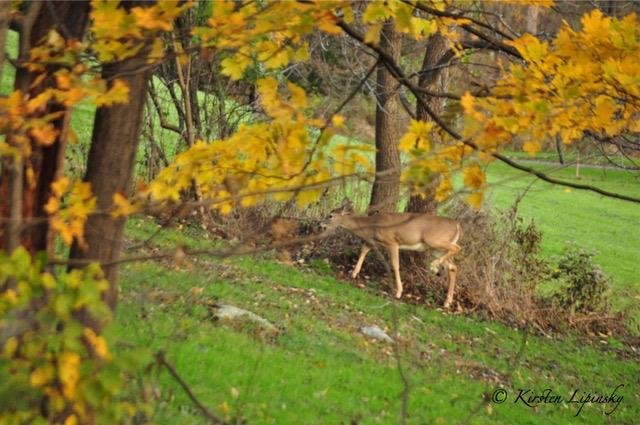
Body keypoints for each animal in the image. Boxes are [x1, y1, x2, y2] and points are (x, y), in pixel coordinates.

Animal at [322, 203, 462, 308]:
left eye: (330, 215)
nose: (320, 224)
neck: (372, 225)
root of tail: (457, 225)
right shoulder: (374, 241)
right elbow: (363, 250)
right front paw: (354, 273)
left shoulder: (392, 242)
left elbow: (395, 265)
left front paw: (399, 292)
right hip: (435, 249)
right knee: (453, 267)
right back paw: (447, 302)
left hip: (434, 240)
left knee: (457, 248)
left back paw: (434, 266)